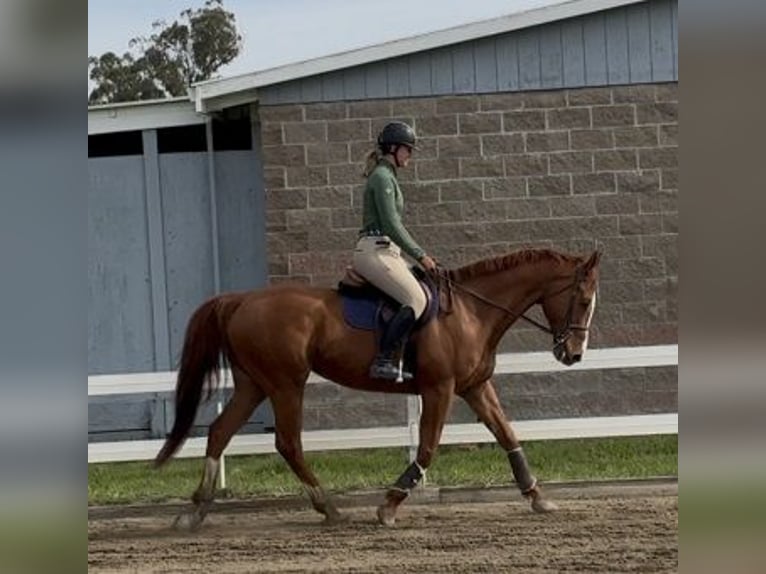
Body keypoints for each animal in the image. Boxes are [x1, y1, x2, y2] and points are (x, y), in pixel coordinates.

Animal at [155, 247, 601, 529]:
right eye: (582, 300)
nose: (573, 353)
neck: (473, 312)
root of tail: (241, 300)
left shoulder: (475, 386)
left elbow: (508, 434)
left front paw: (537, 496)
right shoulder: (439, 389)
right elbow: (427, 448)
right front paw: (389, 505)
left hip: (254, 384)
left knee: (220, 432)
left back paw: (196, 510)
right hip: (285, 383)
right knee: (288, 443)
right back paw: (328, 507)